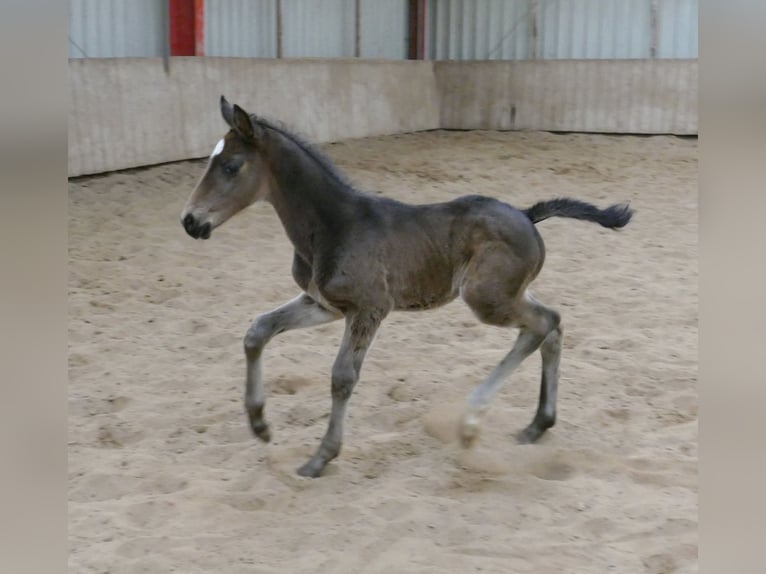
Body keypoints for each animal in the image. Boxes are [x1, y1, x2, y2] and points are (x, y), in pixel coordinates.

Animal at [181, 96, 633, 478]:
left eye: (231, 166)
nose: (190, 221)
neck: (334, 225)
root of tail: (527, 214)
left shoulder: (369, 308)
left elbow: (342, 376)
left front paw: (321, 457)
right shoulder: (323, 304)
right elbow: (257, 330)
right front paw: (259, 424)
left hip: (486, 299)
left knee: (542, 324)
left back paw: (472, 422)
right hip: (507, 293)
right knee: (551, 325)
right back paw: (537, 424)